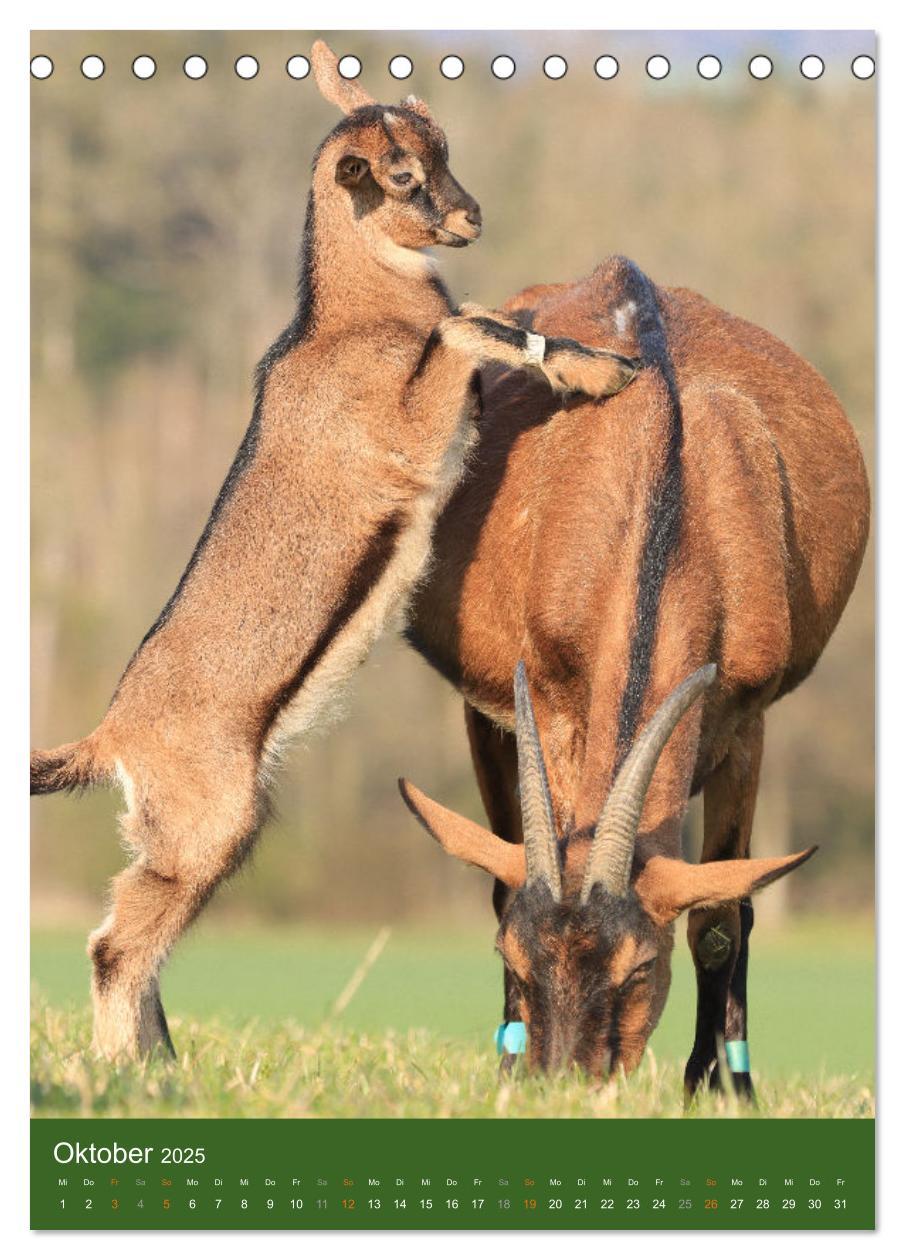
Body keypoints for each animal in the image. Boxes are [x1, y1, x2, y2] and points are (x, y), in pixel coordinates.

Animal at [28, 41, 637, 1063]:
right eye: (399, 175)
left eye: (440, 149)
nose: (470, 216)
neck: (351, 322)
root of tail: (112, 737)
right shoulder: (413, 436)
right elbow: (467, 321)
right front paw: (598, 368)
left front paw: (598, 364)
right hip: (208, 825)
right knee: (116, 944)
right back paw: (126, 1071)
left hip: (191, 836)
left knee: (138, 941)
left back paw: (160, 1067)